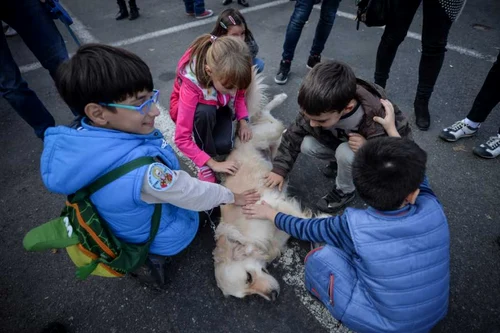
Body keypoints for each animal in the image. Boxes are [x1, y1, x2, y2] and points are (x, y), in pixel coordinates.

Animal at [213, 71, 310, 300]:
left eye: (248, 277)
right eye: (247, 294)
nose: (273, 296)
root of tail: (240, 134)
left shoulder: (270, 201)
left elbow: (304, 219)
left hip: (267, 132)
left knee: (266, 116)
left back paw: (281, 98)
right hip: (273, 146)